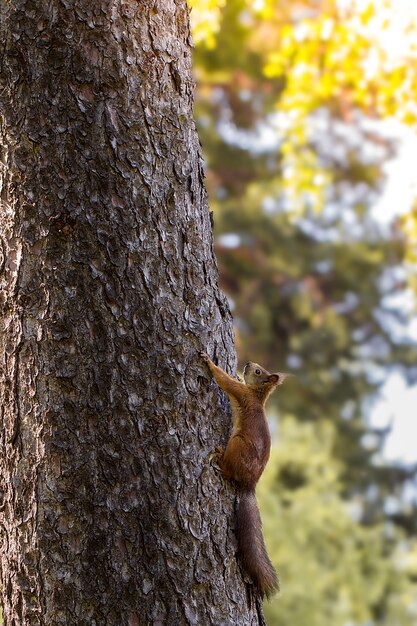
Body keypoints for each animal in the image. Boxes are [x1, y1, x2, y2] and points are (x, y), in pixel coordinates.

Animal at [200, 354, 288, 596]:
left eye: (258, 372)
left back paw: (219, 456)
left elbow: (225, 381)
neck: (257, 395)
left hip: (237, 445)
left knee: (228, 470)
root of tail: (250, 484)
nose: (248, 364)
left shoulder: (241, 393)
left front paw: (209, 363)